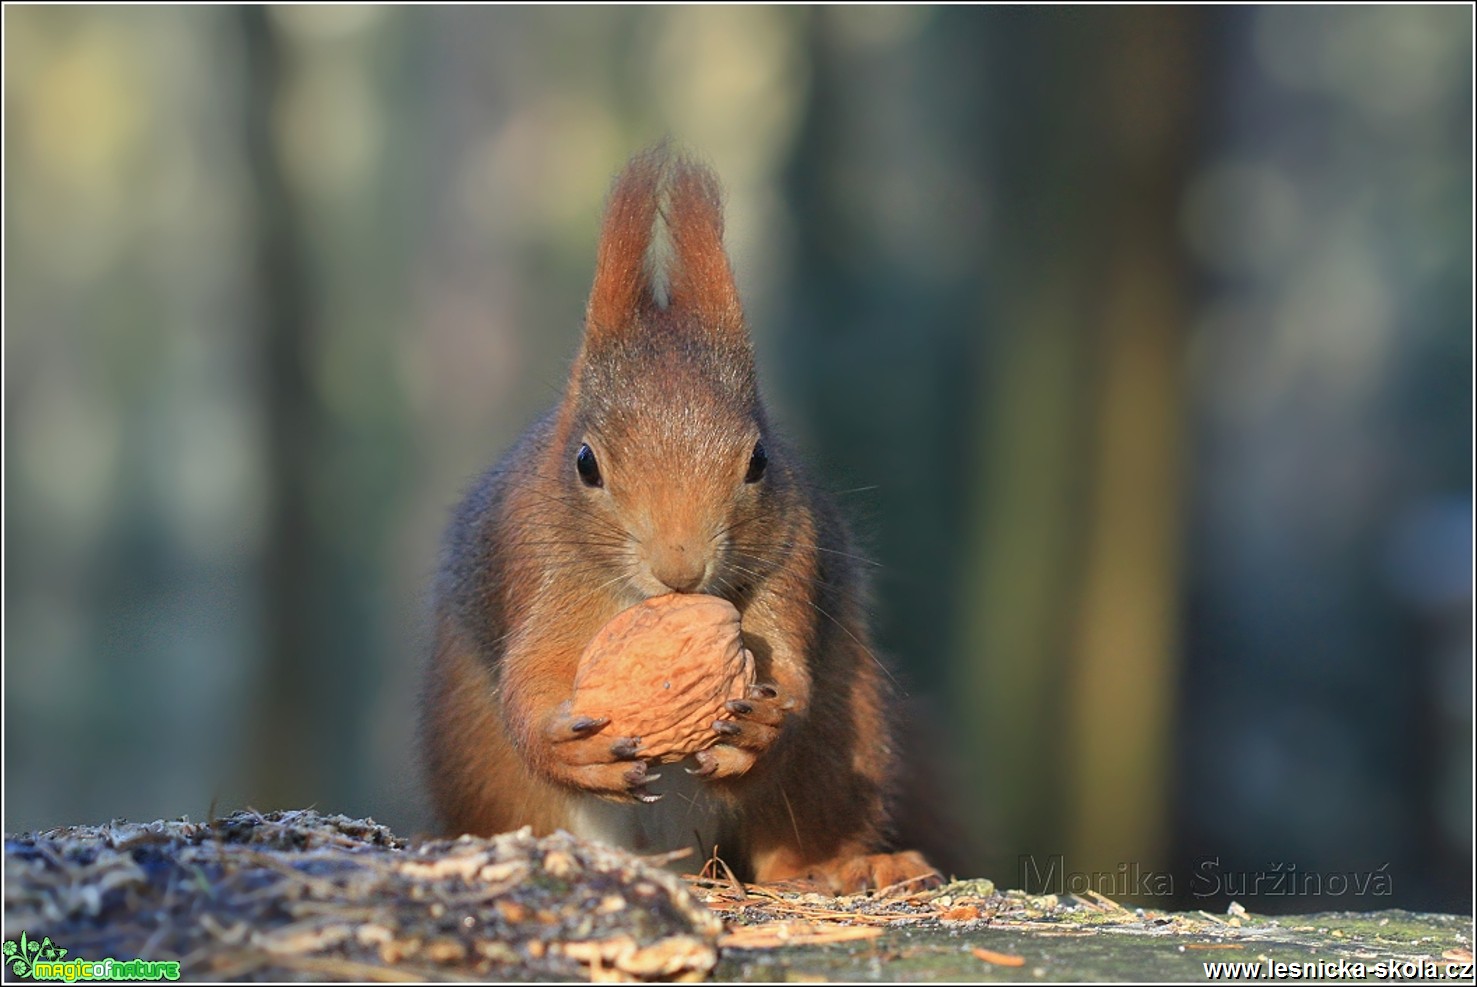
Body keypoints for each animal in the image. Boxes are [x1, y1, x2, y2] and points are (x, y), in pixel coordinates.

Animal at [422, 146, 939, 892]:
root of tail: (675, 857)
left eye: (758, 461)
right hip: (481, 764)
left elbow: (788, 664)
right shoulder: (536, 565)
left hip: (846, 737)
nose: (681, 568)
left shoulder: (795, 554)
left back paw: (844, 865)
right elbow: (530, 675)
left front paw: (763, 725)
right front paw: (569, 746)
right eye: (585, 463)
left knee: (791, 837)